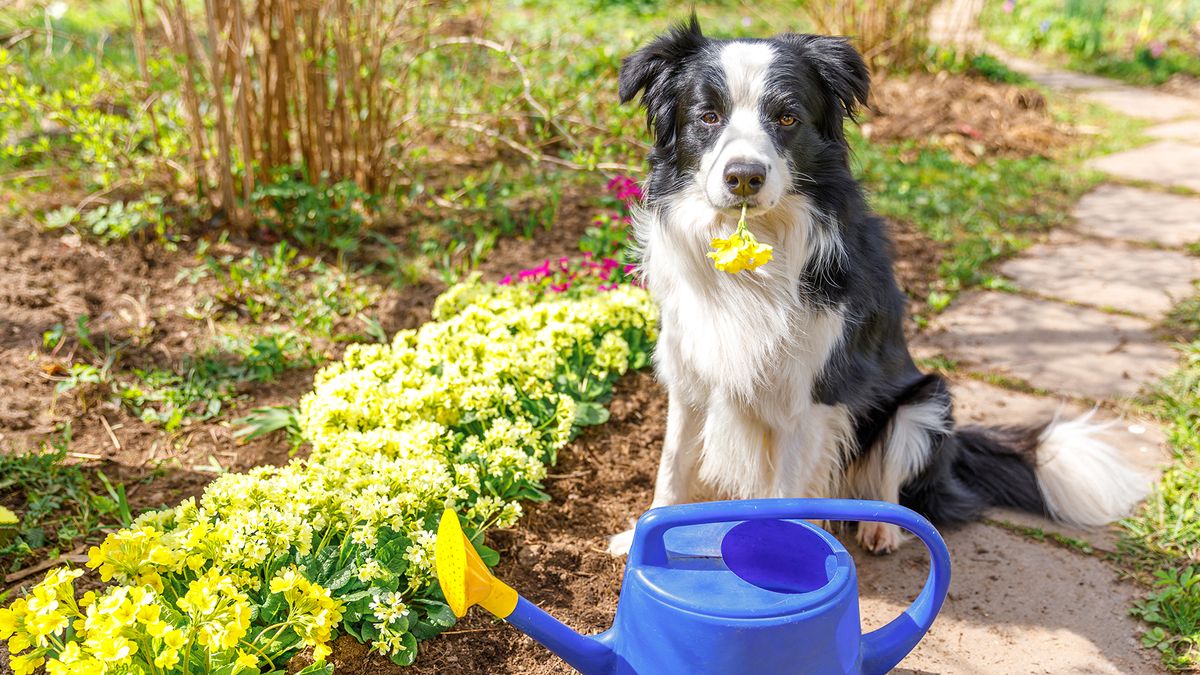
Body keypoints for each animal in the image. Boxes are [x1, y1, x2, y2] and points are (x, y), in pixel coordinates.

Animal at [614, 17, 1147, 552]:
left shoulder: (813, 394)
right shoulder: (690, 371)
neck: (756, 250)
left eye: (787, 118)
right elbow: (673, 464)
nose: (744, 177)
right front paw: (639, 536)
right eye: (707, 116)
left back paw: (880, 529)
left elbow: (788, 489)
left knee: (892, 483)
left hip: (925, 403)